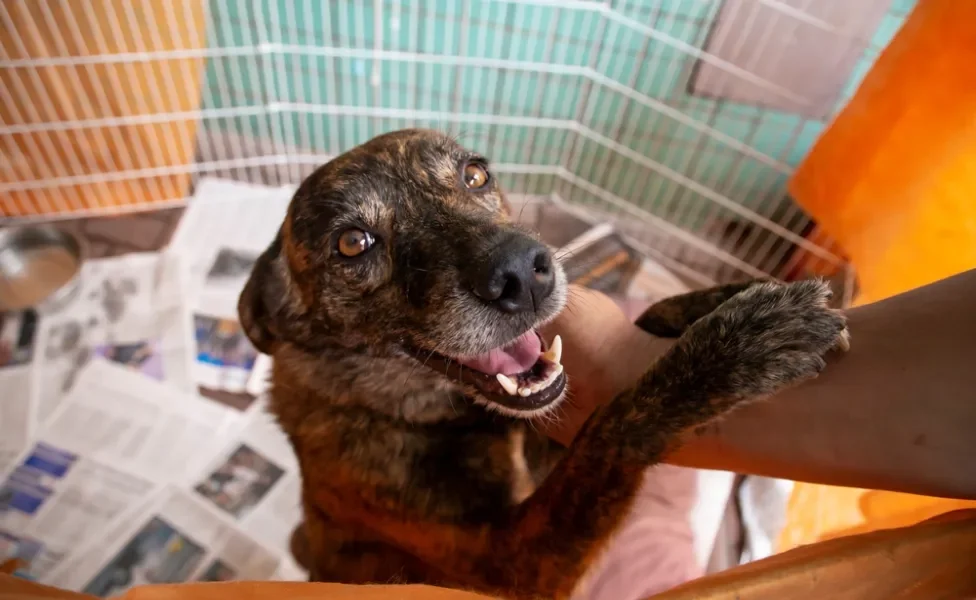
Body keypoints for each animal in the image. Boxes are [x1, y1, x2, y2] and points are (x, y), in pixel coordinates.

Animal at [236, 129, 848, 596]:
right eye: (353, 243)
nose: (522, 273)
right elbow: (611, 429)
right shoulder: (511, 566)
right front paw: (730, 351)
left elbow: (645, 321)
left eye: (475, 175)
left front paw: (718, 298)